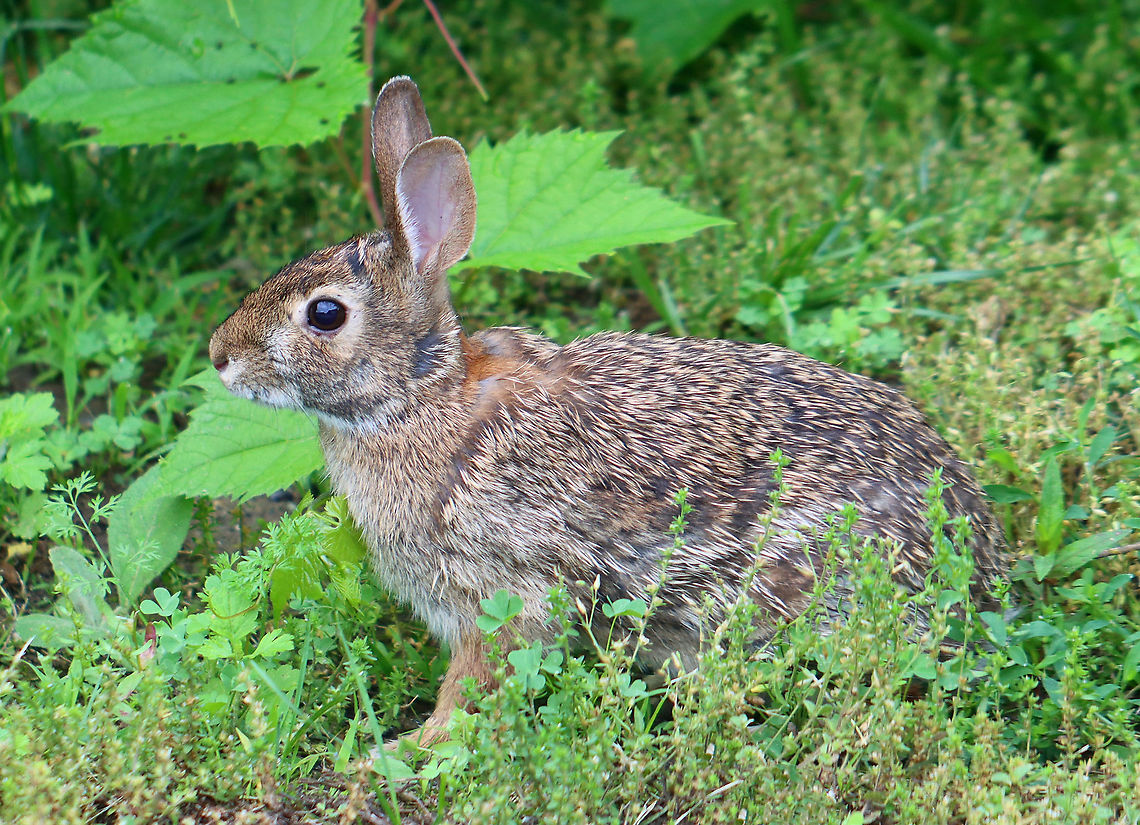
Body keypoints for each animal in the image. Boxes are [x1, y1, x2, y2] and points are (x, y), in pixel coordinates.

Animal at [209, 76, 1005, 746]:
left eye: (325, 314)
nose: (219, 354)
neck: (420, 398)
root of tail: (983, 569)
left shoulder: (507, 588)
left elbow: (477, 679)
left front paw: (411, 747)